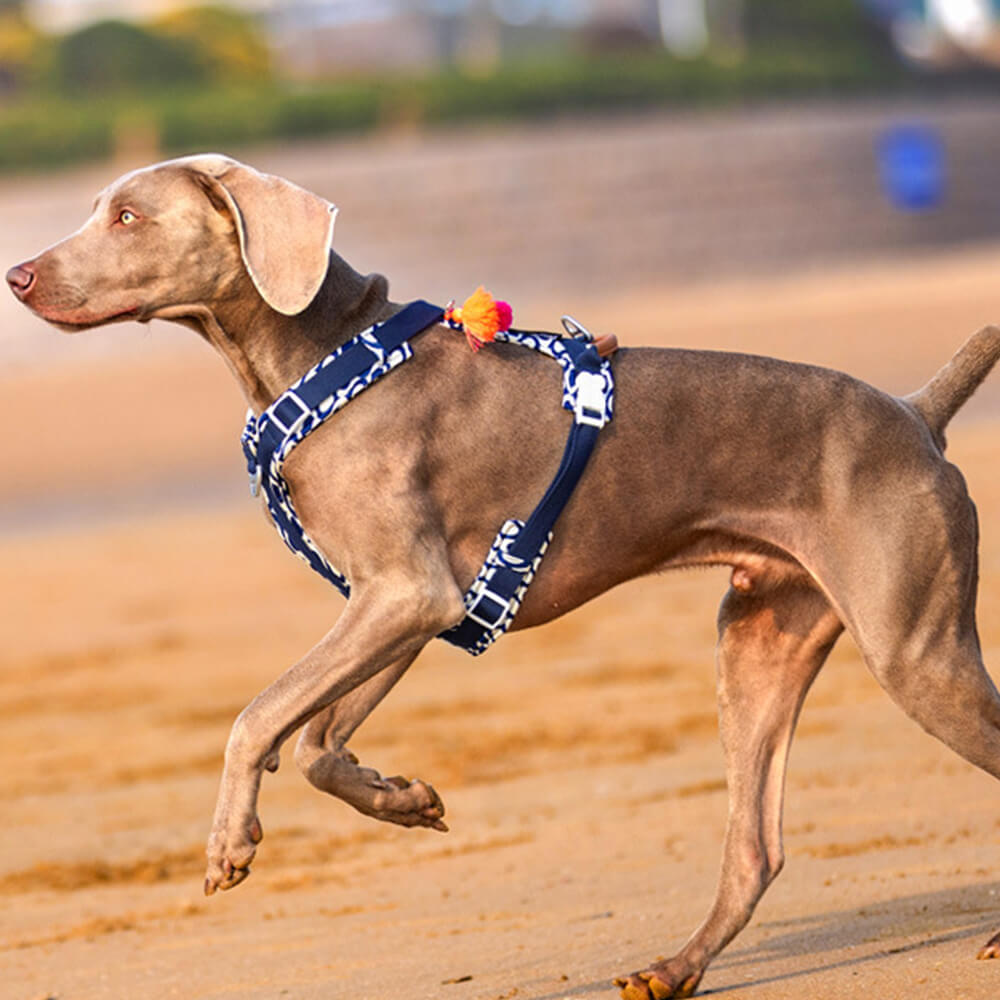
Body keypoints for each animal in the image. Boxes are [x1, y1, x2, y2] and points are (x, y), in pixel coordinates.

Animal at [5, 152, 1000, 996]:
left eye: (128, 216)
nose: (18, 275)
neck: (323, 358)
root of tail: (918, 413)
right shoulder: (404, 601)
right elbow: (317, 740)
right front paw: (403, 800)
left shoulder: (407, 593)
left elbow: (256, 718)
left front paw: (229, 843)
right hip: (760, 637)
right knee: (756, 845)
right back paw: (673, 969)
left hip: (914, 649)